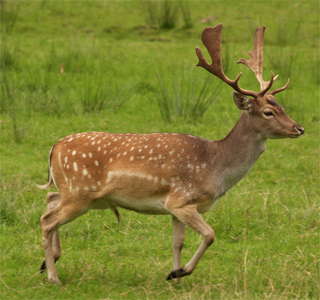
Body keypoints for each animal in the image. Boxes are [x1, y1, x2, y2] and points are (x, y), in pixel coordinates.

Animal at [38, 24, 304, 284]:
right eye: (268, 112)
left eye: (283, 107)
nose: (299, 128)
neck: (215, 167)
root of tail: (55, 147)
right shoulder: (181, 200)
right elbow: (210, 235)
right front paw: (180, 272)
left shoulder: (175, 208)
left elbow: (178, 243)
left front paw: (174, 276)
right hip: (80, 193)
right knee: (47, 221)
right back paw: (53, 276)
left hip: (78, 193)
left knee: (50, 200)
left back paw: (47, 262)